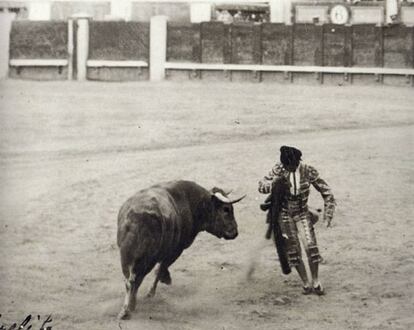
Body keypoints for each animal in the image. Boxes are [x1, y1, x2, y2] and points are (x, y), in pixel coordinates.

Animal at [115, 180, 246, 320]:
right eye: (226, 209)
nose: (235, 232)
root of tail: (135, 216)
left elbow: (160, 268)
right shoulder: (177, 249)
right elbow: (161, 268)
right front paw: (157, 286)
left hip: (126, 257)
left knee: (129, 280)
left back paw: (127, 309)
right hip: (147, 259)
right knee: (135, 280)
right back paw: (129, 309)